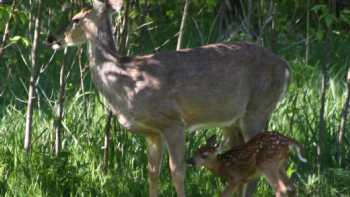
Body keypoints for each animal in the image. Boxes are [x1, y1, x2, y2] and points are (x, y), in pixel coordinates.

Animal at [47, 0, 292, 196]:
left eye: (76, 19)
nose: (52, 38)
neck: (126, 81)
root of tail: (286, 66)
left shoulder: (173, 121)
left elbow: (177, 172)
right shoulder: (152, 133)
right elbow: (152, 173)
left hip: (258, 109)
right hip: (231, 122)